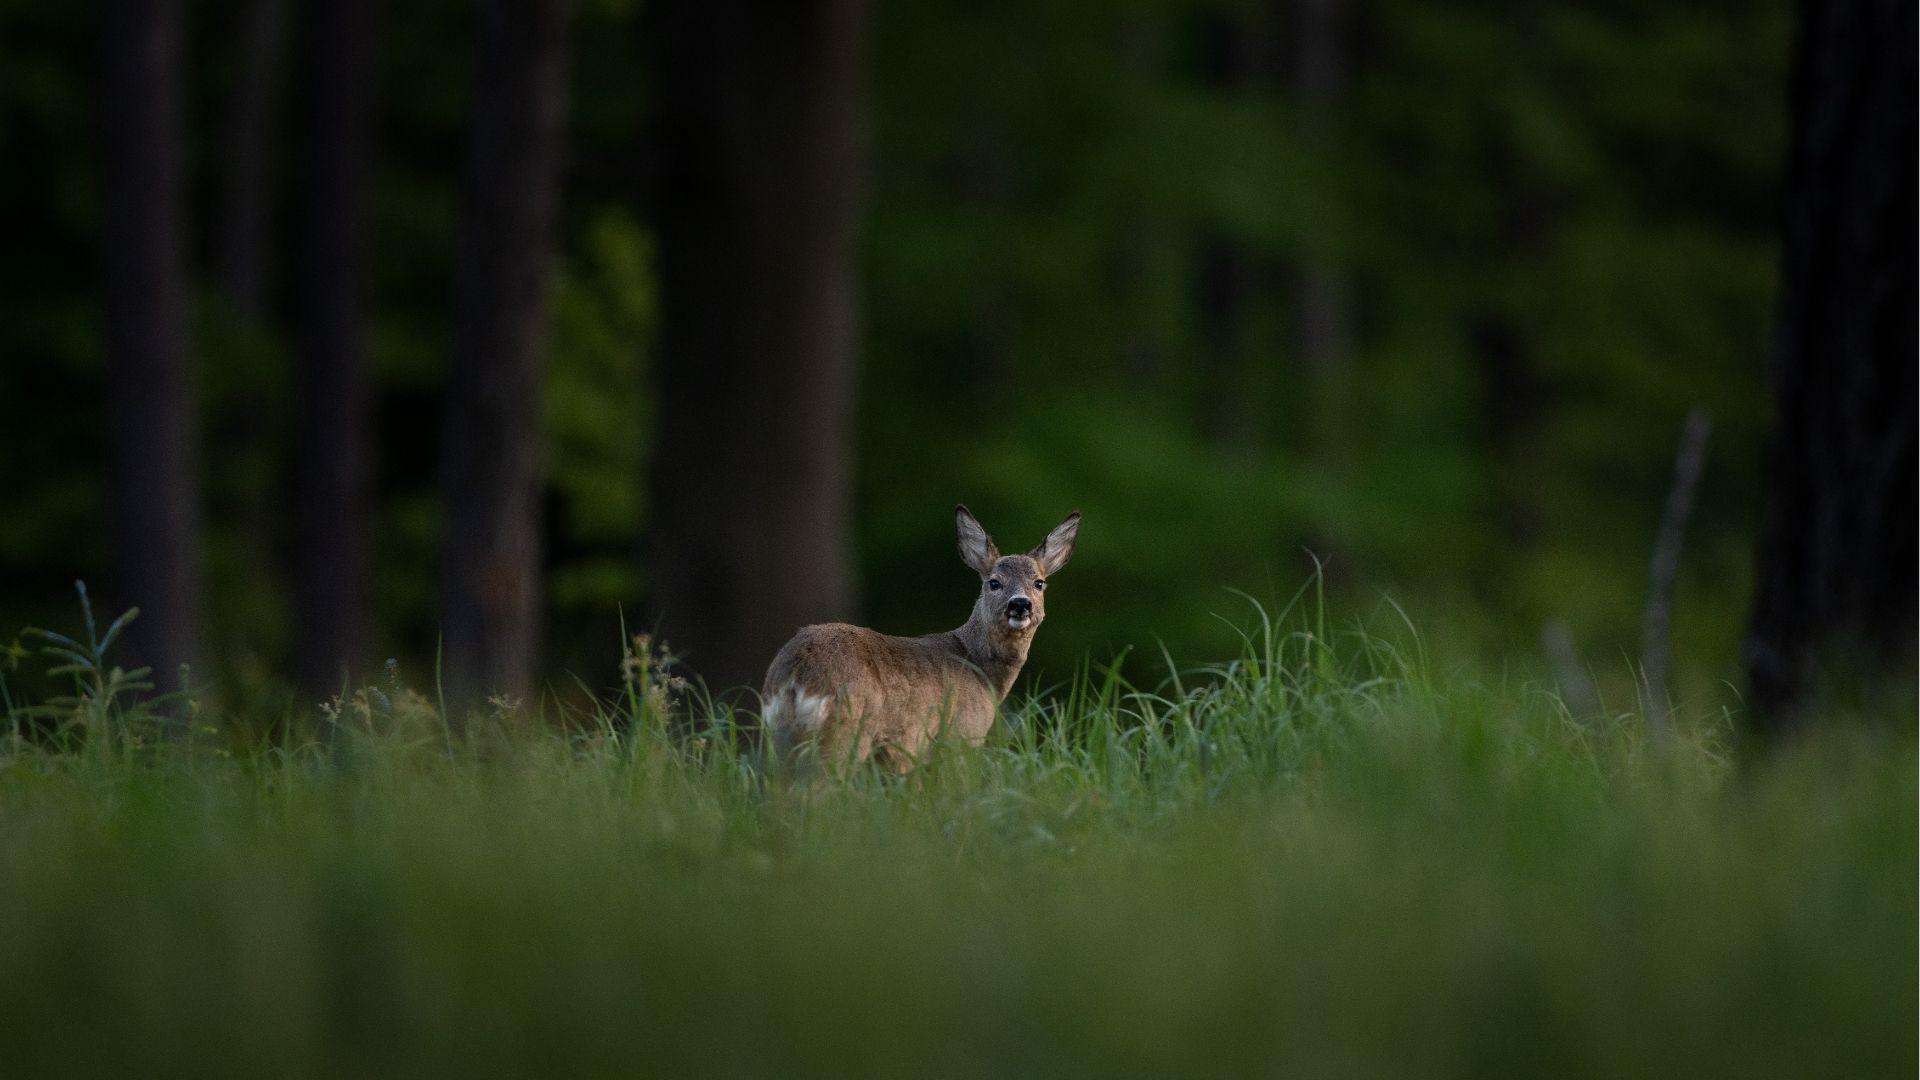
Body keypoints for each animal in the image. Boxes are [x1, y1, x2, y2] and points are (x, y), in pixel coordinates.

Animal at [760, 505, 1081, 770]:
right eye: (993, 583)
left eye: (1039, 583)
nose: (1020, 604)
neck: (981, 671)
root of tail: (796, 677)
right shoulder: (963, 734)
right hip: (845, 729)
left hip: (781, 736)